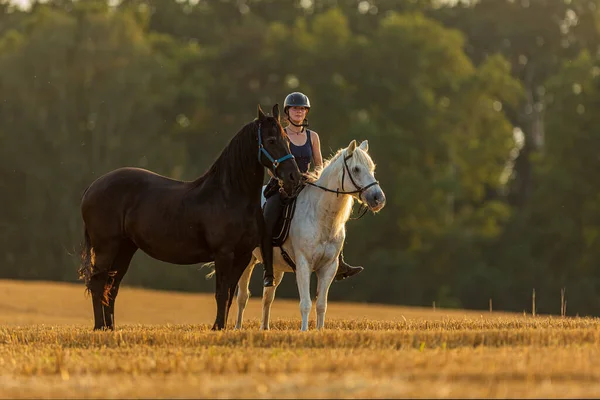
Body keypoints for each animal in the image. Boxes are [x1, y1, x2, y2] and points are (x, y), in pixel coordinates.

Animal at [79, 104, 302, 332]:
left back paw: (110, 328)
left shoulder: (243, 256)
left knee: (111, 286)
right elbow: (221, 294)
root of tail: (93, 187)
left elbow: (230, 295)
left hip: (125, 248)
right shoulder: (223, 254)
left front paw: (221, 327)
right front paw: (217, 327)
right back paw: (99, 327)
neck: (228, 195)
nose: (294, 176)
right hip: (106, 247)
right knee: (98, 284)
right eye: (271, 140)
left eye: (287, 139)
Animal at [234, 140, 384, 332]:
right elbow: (305, 303)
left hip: (276, 267)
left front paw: (319, 331)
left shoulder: (329, 267)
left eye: (372, 168)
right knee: (242, 296)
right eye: (356, 169)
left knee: (267, 297)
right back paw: (238, 328)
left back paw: (265, 328)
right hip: (248, 261)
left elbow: (321, 305)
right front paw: (304, 331)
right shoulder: (304, 264)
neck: (321, 216)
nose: (378, 198)